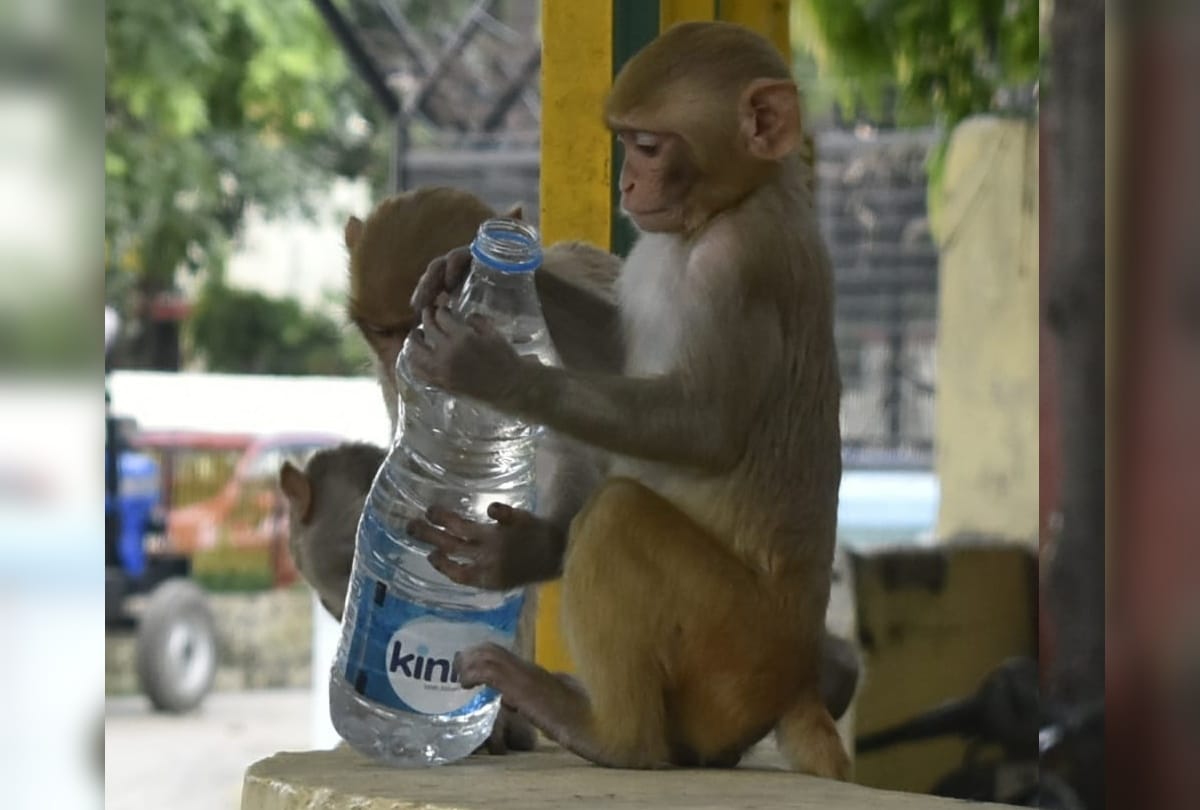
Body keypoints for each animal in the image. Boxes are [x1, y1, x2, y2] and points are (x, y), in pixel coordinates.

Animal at [403, 22, 851, 777]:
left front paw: (494, 373)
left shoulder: (739, 265)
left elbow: (705, 429)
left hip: (732, 651)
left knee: (618, 517)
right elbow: (611, 355)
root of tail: (795, 677)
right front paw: (470, 266)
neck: (724, 210)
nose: (629, 183)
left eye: (648, 144)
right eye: (629, 144)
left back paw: (605, 733)